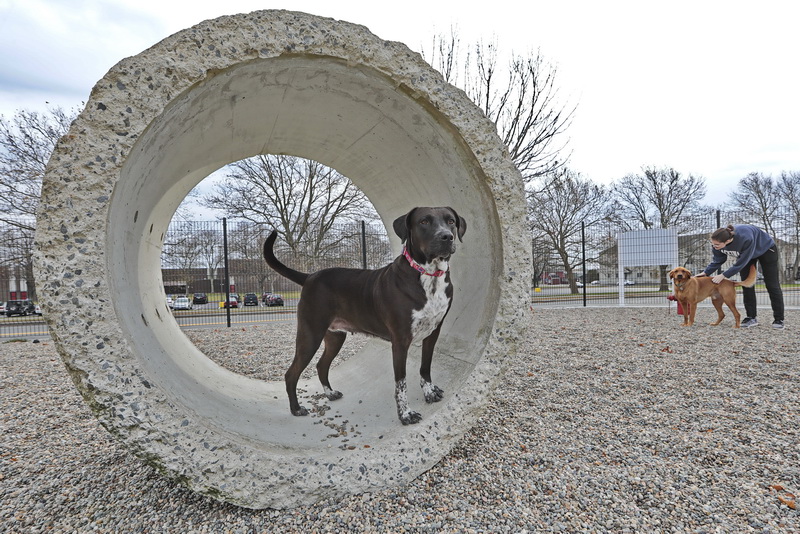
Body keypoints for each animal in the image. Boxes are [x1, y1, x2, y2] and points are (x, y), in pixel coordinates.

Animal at [264, 207, 462, 426]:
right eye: (424, 222)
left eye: (451, 221)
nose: (447, 236)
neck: (428, 276)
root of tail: (310, 276)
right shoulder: (400, 341)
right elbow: (401, 383)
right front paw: (405, 414)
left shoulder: (433, 333)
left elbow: (425, 368)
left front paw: (429, 392)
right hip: (310, 335)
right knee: (291, 373)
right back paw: (296, 409)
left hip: (335, 337)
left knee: (321, 365)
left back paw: (330, 393)